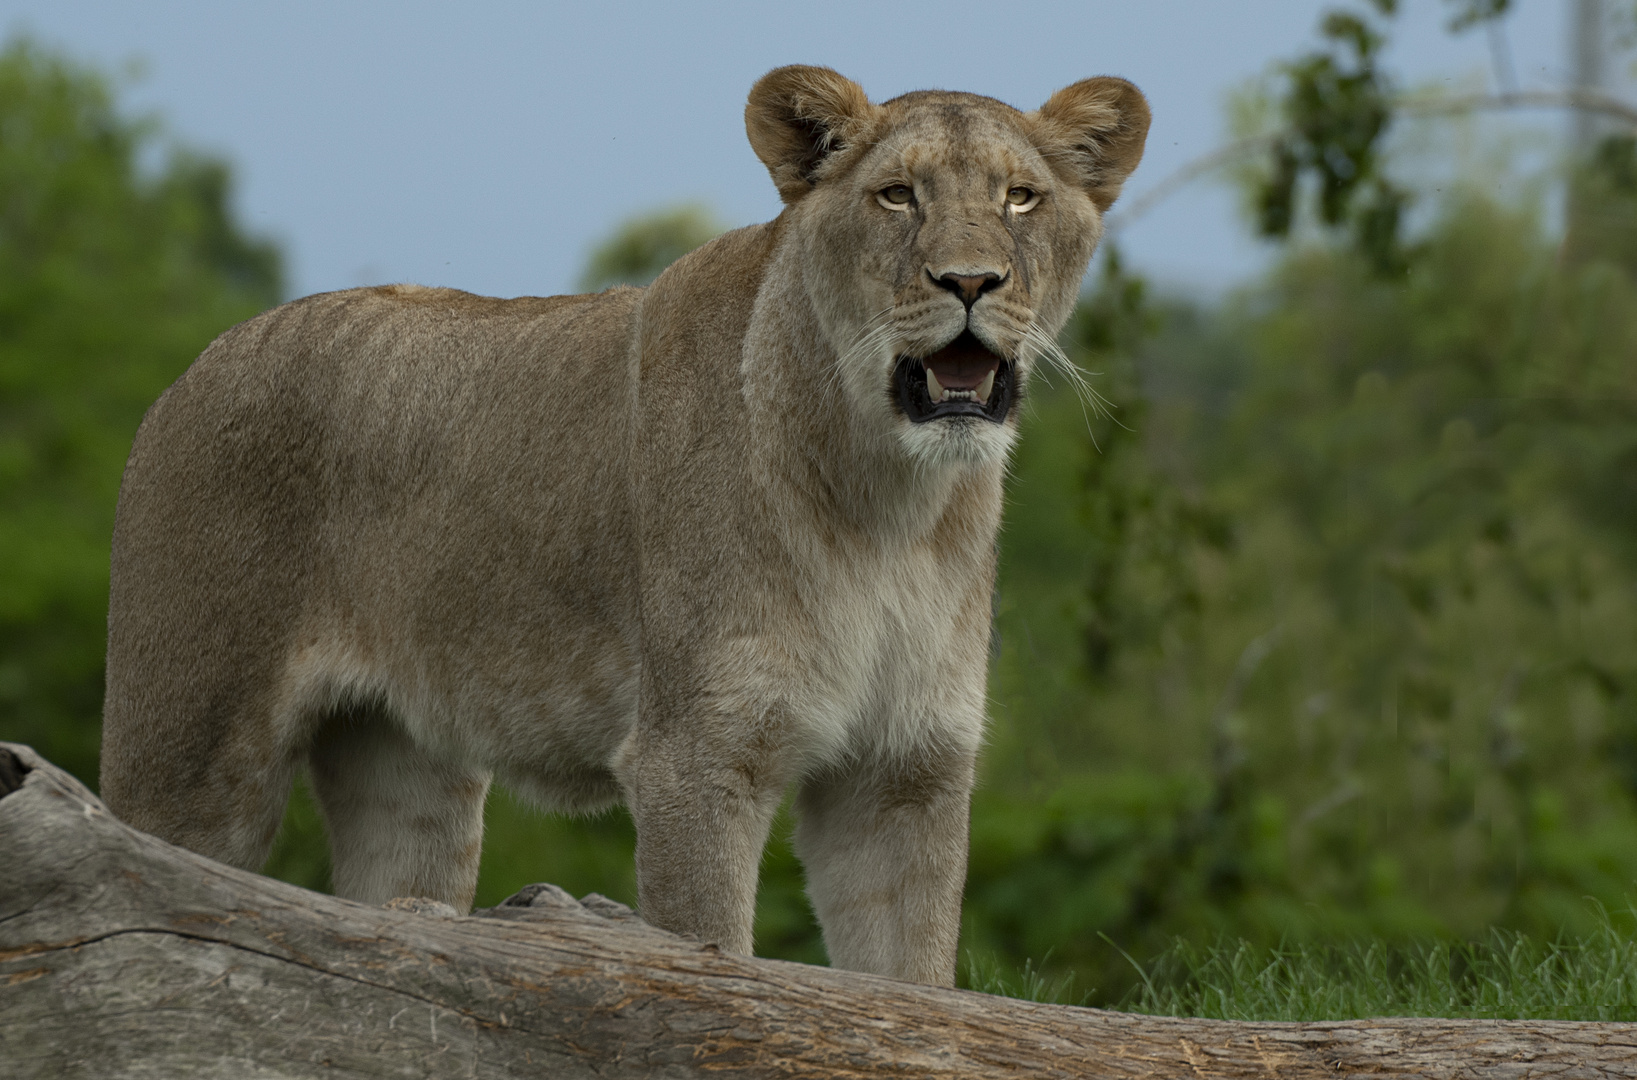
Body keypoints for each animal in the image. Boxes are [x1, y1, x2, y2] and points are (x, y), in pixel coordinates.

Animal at [99, 63, 1152, 981]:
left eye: (1020, 199)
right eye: (897, 197)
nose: (970, 283)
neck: (890, 501)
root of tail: (191, 371)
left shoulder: (905, 770)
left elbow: (910, 984)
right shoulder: (696, 757)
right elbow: (712, 962)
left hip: (409, 777)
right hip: (191, 748)